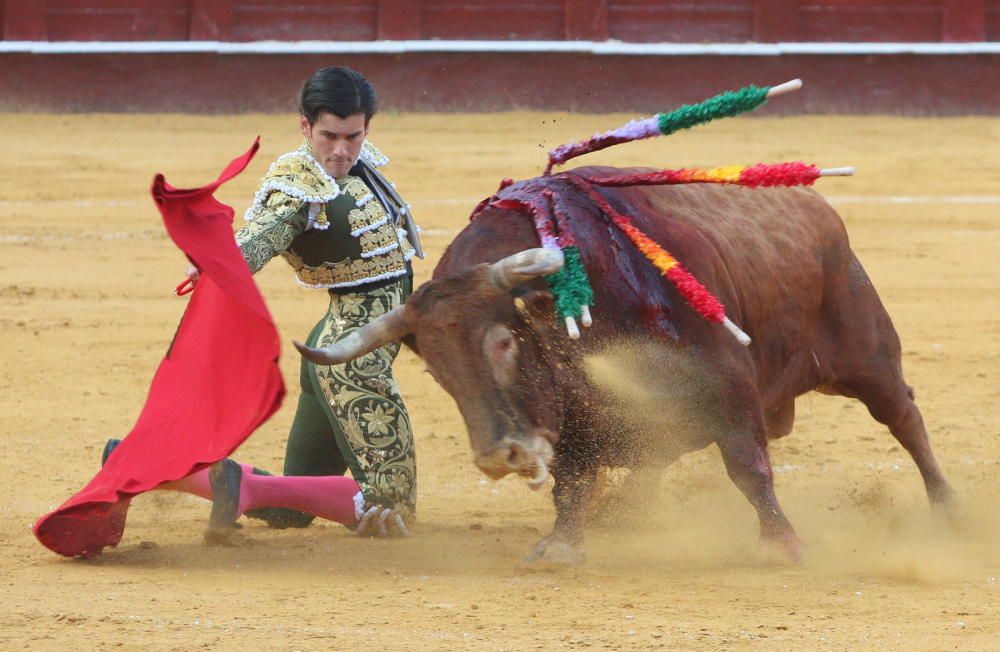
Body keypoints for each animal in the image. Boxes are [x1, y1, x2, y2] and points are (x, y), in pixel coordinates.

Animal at [294, 169, 952, 564]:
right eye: (437, 371)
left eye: (504, 344)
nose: (499, 456)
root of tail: (815, 206)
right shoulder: (575, 419)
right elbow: (571, 481)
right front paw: (562, 546)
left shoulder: (728, 385)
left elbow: (748, 468)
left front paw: (782, 544)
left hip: (866, 353)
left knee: (905, 420)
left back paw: (949, 510)